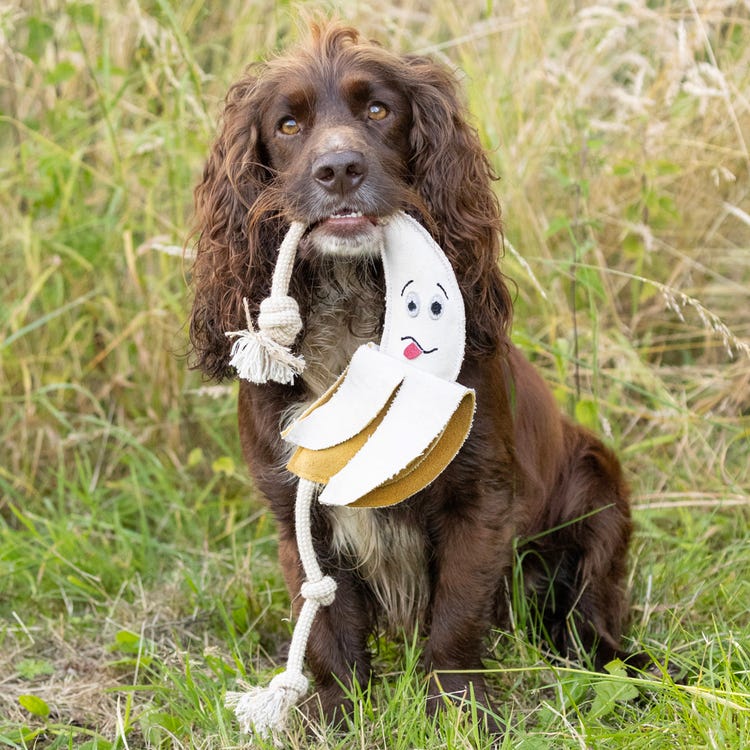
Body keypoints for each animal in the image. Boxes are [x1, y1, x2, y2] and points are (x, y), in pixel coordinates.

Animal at [189, 22, 640, 728]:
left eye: (378, 110)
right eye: (288, 124)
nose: (339, 170)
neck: (354, 312)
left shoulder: (480, 495)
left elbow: (457, 614)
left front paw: (460, 709)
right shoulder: (296, 507)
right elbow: (329, 621)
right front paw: (334, 712)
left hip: (598, 488)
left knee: (590, 611)